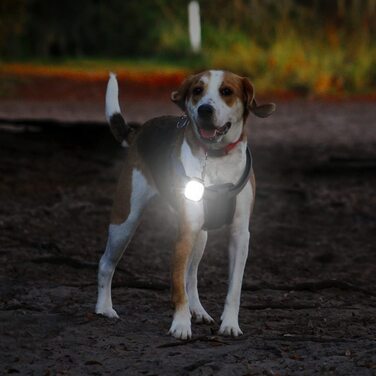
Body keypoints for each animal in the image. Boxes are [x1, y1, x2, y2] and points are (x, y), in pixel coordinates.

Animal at [95, 69, 274, 340]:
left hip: (201, 235)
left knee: (192, 276)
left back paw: (197, 310)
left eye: (227, 91)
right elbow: (177, 284)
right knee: (106, 263)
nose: (204, 110)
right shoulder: (185, 230)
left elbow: (233, 288)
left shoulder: (240, 234)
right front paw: (180, 324)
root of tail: (140, 130)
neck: (216, 158)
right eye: (197, 91)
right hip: (125, 222)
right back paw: (104, 308)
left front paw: (230, 324)